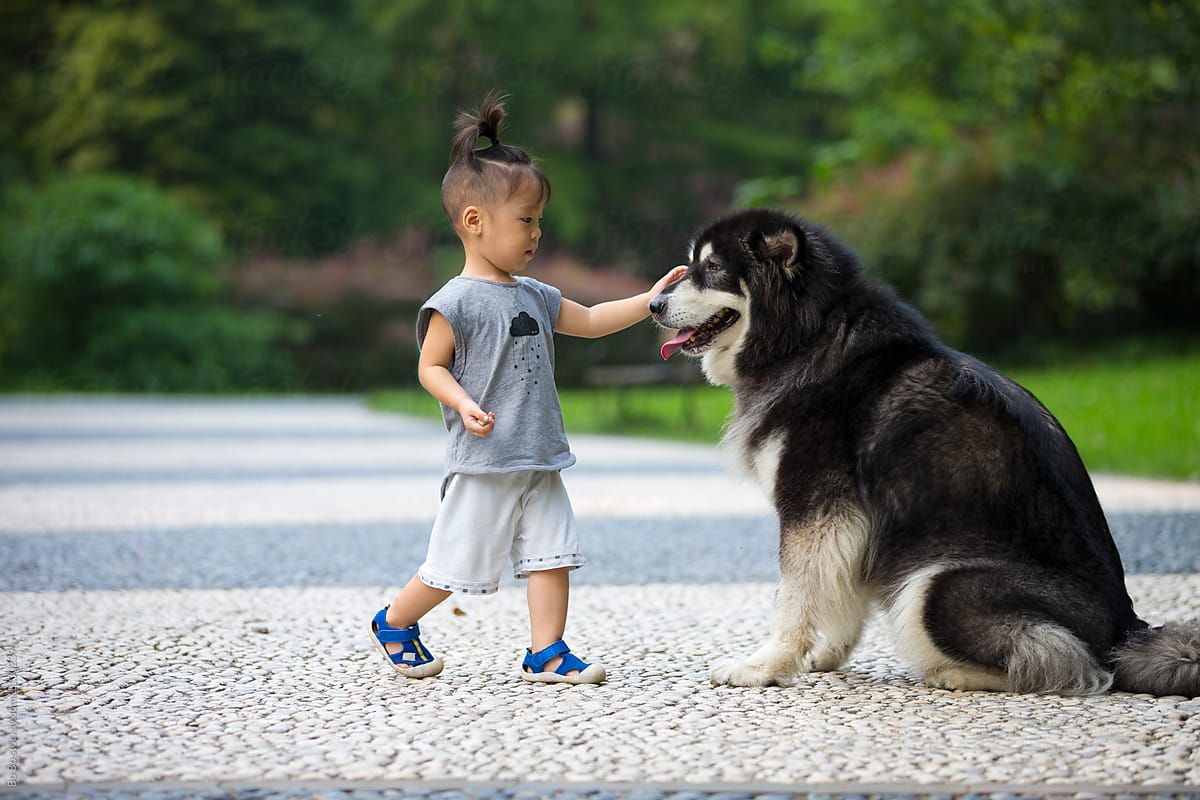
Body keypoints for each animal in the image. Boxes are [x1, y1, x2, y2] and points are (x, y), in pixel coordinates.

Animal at [652, 209, 1200, 695]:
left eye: (712, 268)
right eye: (690, 265)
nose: (654, 304)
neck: (809, 335)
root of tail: (1127, 631)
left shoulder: (816, 506)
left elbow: (793, 596)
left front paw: (766, 665)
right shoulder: (849, 521)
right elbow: (839, 592)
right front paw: (824, 655)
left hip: (936, 584)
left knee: (1067, 663)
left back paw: (954, 674)